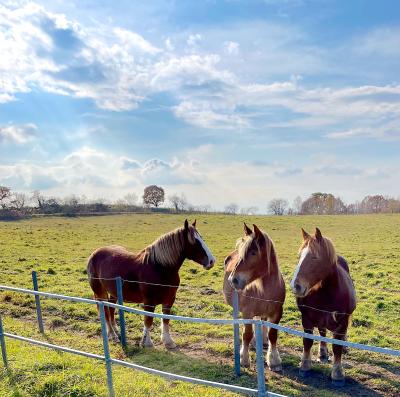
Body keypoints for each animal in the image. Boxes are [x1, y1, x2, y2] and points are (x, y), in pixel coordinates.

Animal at [86, 218, 214, 348]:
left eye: (201, 238)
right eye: (194, 241)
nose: (211, 261)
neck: (160, 268)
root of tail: (95, 254)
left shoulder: (169, 299)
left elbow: (166, 319)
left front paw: (168, 341)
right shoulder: (149, 302)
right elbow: (148, 320)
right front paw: (147, 342)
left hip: (113, 292)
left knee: (111, 308)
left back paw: (116, 330)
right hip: (100, 292)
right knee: (105, 310)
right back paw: (112, 335)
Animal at [223, 221, 286, 370]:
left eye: (253, 252)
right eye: (242, 252)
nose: (233, 280)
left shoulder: (277, 312)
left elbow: (273, 335)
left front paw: (274, 359)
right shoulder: (247, 312)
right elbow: (246, 334)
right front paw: (244, 358)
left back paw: (261, 340)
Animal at [290, 227, 356, 386]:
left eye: (315, 257)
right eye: (299, 256)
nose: (296, 286)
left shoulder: (342, 321)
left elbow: (337, 347)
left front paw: (338, 374)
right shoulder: (307, 318)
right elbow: (308, 341)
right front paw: (305, 367)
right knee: (322, 332)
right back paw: (322, 353)